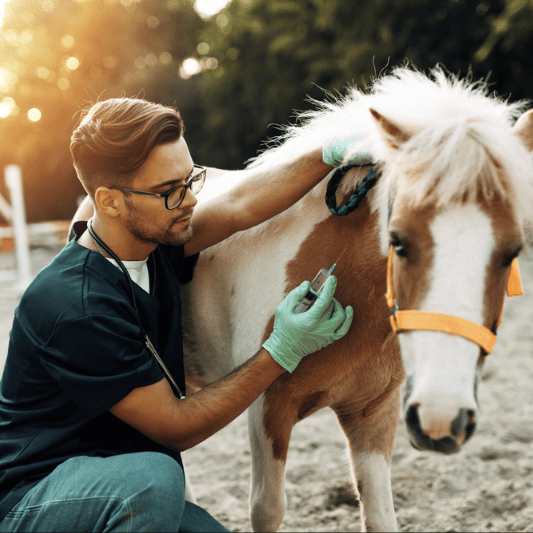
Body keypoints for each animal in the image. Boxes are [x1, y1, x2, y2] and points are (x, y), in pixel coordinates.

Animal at [181, 67, 532, 532]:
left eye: (513, 252)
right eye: (397, 241)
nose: (441, 416)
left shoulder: (374, 414)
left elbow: (381, 516)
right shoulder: (267, 412)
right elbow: (266, 509)